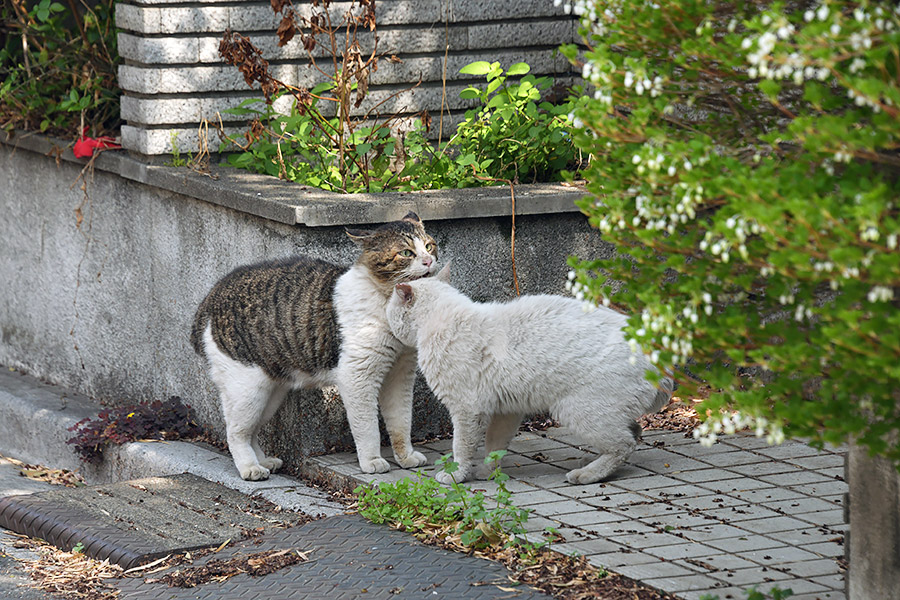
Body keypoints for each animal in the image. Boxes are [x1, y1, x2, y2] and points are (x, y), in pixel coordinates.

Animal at [192, 213, 438, 480]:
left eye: (429, 246)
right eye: (406, 253)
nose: (428, 261)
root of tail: (213, 294)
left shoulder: (400, 374)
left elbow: (401, 421)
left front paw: (405, 457)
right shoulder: (357, 377)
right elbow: (367, 426)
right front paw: (372, 461)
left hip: (271, 392)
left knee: (252, 431)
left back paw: (264, 461)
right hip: (247, 389)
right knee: (236, 432)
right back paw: (250, 467)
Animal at [386, 274, 676, 486]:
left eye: (390, 309)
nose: (388, 324)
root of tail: (659, 361)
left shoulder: (467, 410)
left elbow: (462, 446)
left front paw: (455, 475)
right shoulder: (506, 411)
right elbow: (495, 446)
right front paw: (488, 473)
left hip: (575, 410)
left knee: (624, 444)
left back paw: (585, 475)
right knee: (634, 432)